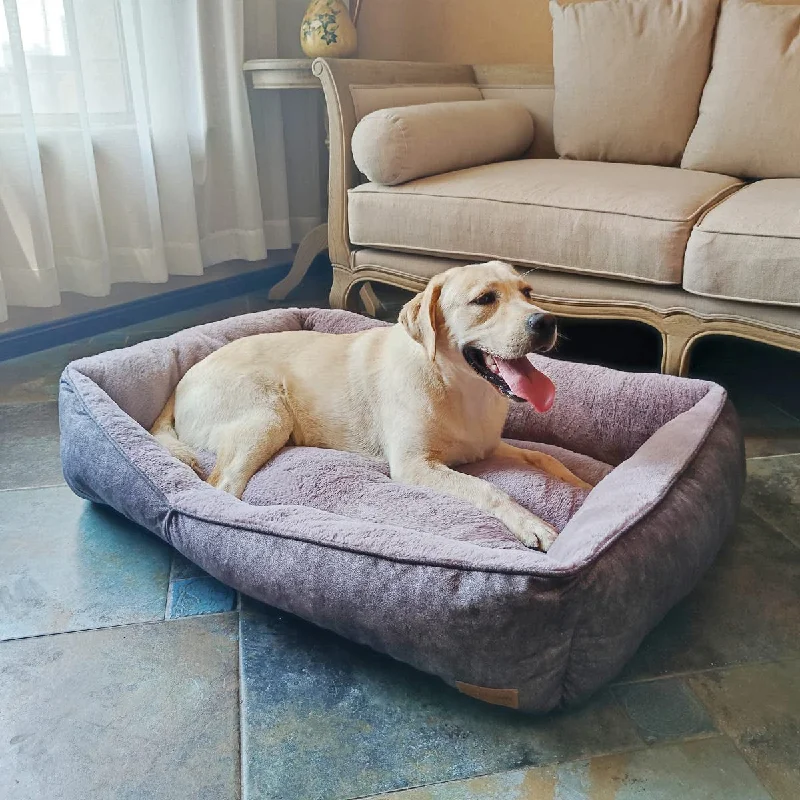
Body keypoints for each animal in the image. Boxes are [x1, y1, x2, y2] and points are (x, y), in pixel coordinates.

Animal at [152, 262, 588, 552]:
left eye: (528, 292)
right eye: (484, 299)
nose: (546, 322)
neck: (458, 386)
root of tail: (182, 380)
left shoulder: (489, 446)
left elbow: (548, 459)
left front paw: (585, 488)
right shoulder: (414, 465)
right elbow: (489, 489)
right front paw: (531, 523)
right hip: (266, 419)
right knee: (221, 486)